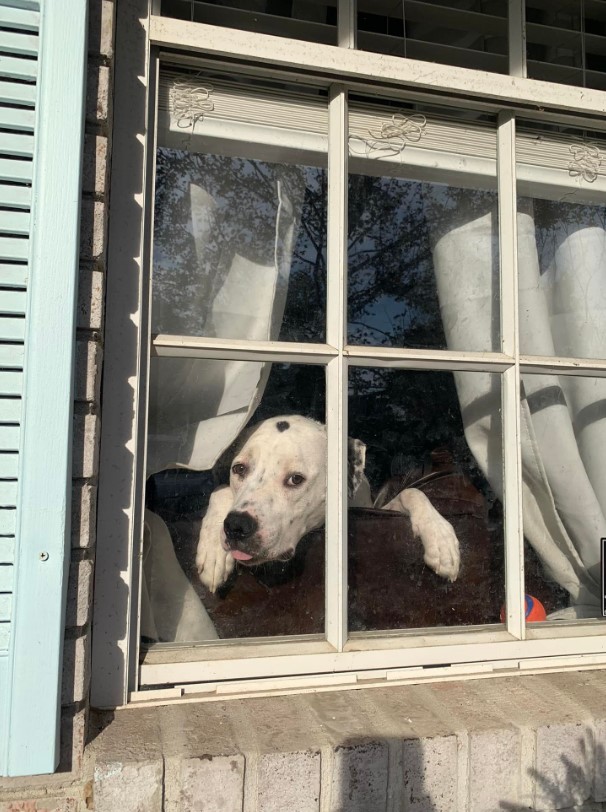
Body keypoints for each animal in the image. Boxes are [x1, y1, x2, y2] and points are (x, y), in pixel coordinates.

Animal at [196, 416, 460, 592]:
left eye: (295, 479)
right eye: (239, 469)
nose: (237, 526)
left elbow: (412, 492)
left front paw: (440, 539)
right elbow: (220, 492)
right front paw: (213, 550)